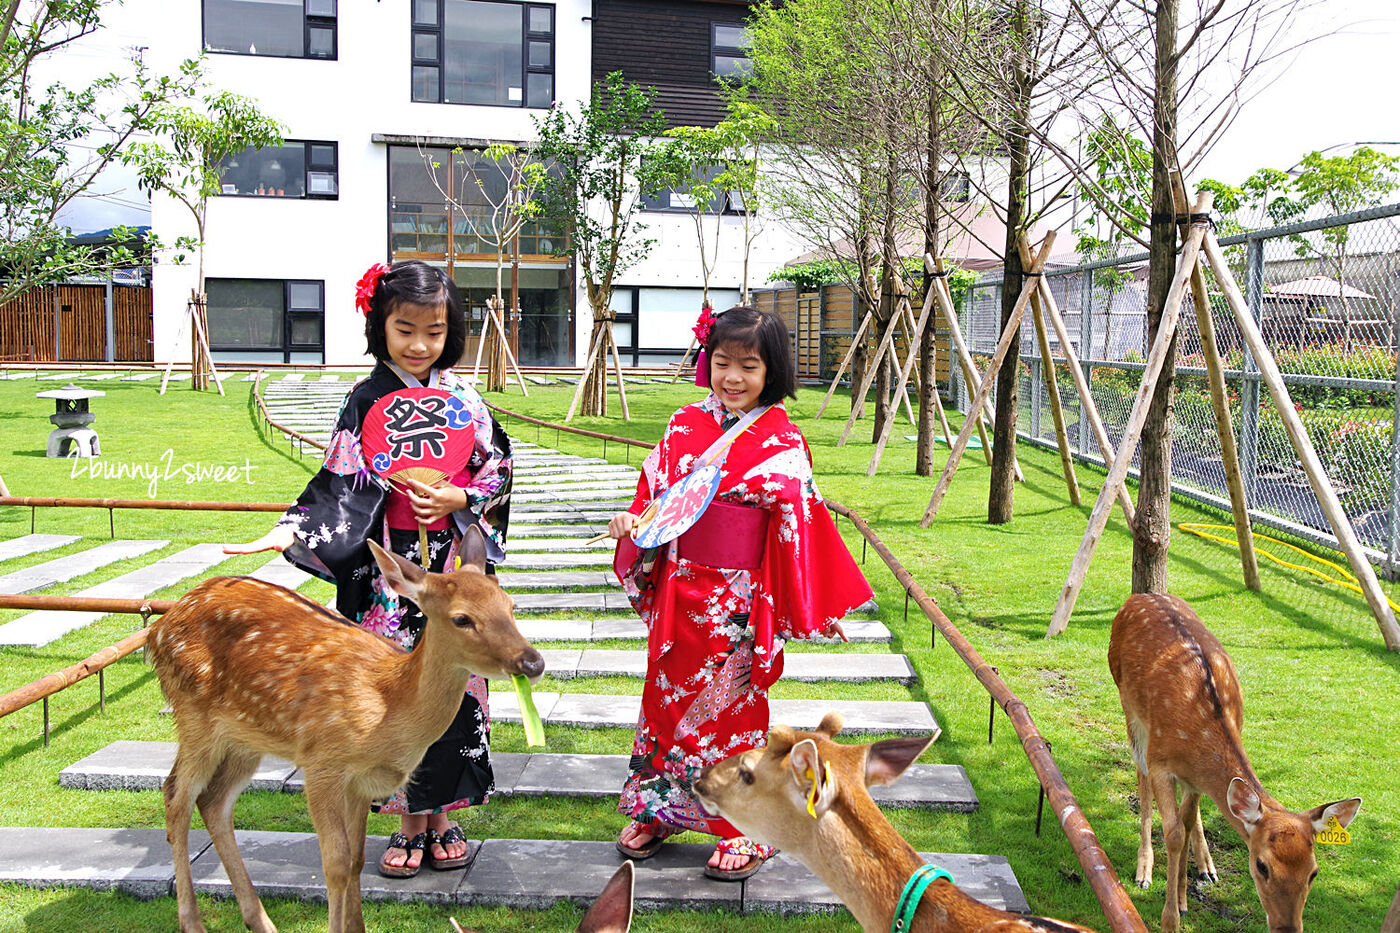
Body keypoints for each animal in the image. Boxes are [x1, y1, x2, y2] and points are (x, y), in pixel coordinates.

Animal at [147, 529, 540, 930]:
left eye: (509, 605)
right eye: (461, 618)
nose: (532, 662)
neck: (386, 707)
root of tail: (159, 628)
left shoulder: (361, 782)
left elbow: (356, 860)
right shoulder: (322, 761)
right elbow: (335, 864)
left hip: (244, 738)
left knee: (213, 801)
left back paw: (260, 920)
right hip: (194, 714)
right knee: (175, 795)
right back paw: (192, 922)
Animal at [1108, 596, 1360, 930]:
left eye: (1313, 872)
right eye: (1261, 865)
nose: (1286, 928)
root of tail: (1138, 597)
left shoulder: (1195, 780)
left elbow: (1187, 822)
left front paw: (1184, 901)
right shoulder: (1161, 761)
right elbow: (1173, 834)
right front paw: (1170, 920)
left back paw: (1207, 867)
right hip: (1130, 710)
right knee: (1141, 775)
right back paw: (1144, 872)